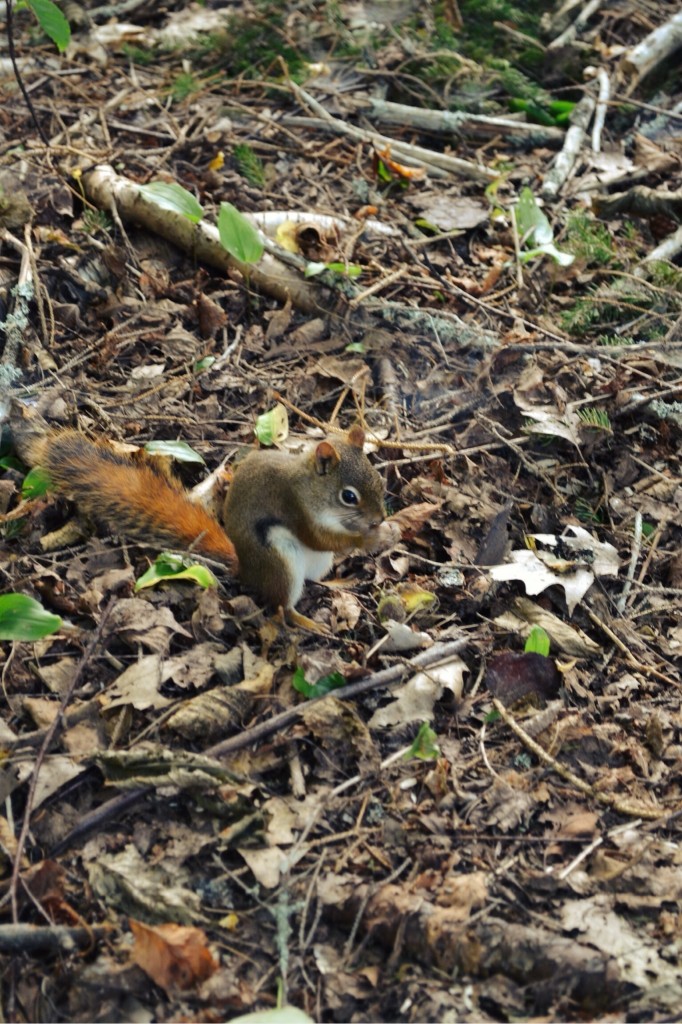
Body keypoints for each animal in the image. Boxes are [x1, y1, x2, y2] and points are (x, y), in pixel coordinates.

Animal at [15, 417, 385, 631]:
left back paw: (339, 582)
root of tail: (245, 570)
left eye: (379, 479)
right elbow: (320, 537)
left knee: (313, 580)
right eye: (349, 496)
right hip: (281, 561)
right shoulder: (294, 507)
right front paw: (367, 538)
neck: (311, 486)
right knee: (282, 604)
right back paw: (305, 620)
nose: (380, 517)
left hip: (316, 565)